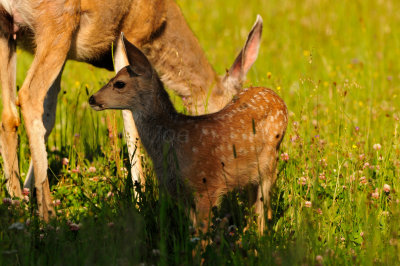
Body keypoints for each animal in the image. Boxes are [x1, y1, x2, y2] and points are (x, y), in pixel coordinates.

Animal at [0, 0, 262, 220]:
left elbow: (49, 117)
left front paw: (28, 190)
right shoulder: (129, 33)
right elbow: (130, 119)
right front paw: (140, 200)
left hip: (8, 32)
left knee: (9, 115)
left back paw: (16, 203)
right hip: (56, 21)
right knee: (28, 96)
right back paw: (48, 213)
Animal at [89, 34, 288, 233]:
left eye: (119, 83)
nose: (92, 98)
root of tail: (278, 98)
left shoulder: (207, 185)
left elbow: (202, 234)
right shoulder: (179, 192)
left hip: (270, 162)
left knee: (262, 209)